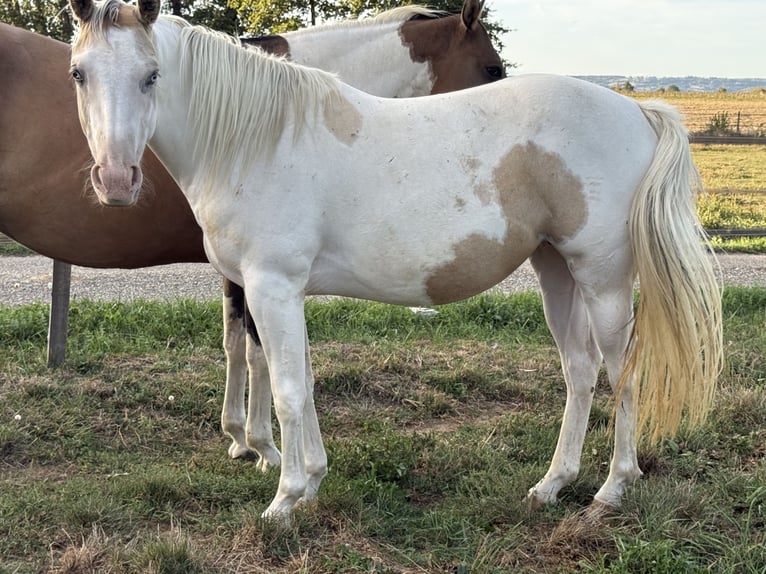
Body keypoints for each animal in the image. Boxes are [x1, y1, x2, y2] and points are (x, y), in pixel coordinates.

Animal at [0, 0, 504, 468]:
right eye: (493, 69)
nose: (116, 180)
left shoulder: (238, 269)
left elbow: (236, 345)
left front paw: (240, 437)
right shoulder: (254, 270)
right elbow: (258, 352)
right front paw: (264, 447)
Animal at [67, 0, 722, 524]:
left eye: (152, 75)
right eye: (79, 73)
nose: (116, 180)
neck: (258, 138)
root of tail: (637, 112)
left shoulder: (271, 286)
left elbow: (285, 388)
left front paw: (284, 499)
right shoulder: (273, 293)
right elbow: (303, 381)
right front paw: (311, 481)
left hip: (602, 278)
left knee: (622, 372)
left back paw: (611, 491)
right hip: (555, 271)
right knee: (580, 371)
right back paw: (551, 486)